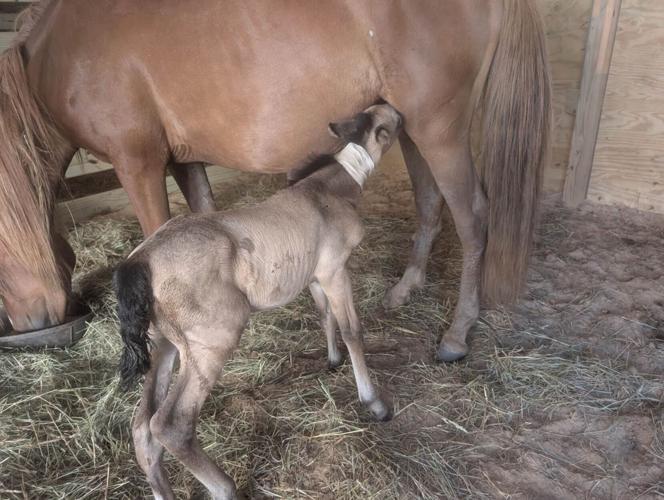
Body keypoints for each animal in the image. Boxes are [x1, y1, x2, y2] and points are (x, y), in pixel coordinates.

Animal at [0, 0, 550, 361]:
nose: (30, 323)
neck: (61, 54)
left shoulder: (138, 163)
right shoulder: (184, 160)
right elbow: (204, 216)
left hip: (441, 129)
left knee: (472, 216)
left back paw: (458, 333)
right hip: (412, 127)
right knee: (431, 202)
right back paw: (405, 289)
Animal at [115, 104, 402, 499]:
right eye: (388, 123)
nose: (400, 112)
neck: (326, 188)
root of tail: (141, 261)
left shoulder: (314, 275)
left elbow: (324, 315)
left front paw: (331, 361)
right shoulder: (334, 270)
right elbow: (352, 331)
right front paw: (373, 402)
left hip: (164, 344)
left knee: (142, 428)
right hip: (211, 341)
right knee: (170, 424)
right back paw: (225, 487)